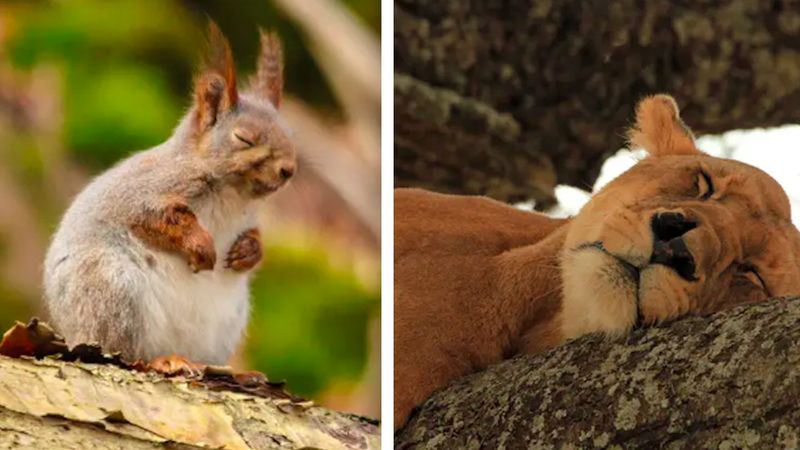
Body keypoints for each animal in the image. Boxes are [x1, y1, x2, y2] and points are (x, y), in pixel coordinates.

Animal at [43, 22, 296, 366]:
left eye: (291, 136)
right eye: (243, 138)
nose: (289, 169)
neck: (233, 195)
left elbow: (254, 236)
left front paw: (248, 251)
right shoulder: (141, 193)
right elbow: (156, 219)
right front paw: (201, 246)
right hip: (111, 287)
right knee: (122, 351)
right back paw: (160, 362)